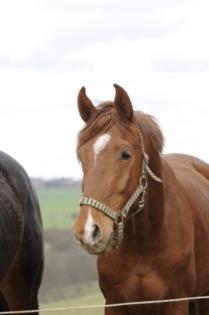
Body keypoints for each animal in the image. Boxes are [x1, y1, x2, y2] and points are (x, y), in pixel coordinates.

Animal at [74, 84, 209, 315]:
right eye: (81, 157)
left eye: (125, 154)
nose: (89, 231)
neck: (144, 241)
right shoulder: (114, 304)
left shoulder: (177, 303)